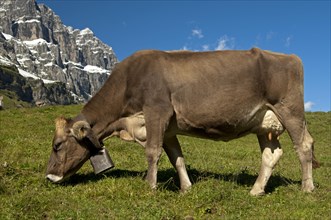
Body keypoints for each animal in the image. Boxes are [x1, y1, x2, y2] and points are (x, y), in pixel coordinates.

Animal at [45, 48, 320, 196]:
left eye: (57, 145)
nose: (49, 177)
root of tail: (289, 56)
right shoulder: (168, 128)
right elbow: (176, 157)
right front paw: (186, 187)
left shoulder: (157, 111)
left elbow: (152, 152)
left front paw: (150, 186)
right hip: (264, 124)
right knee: (271, 154)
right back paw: (256, 190)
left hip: (290, 110)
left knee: (304, 145)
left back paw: (307, 188)